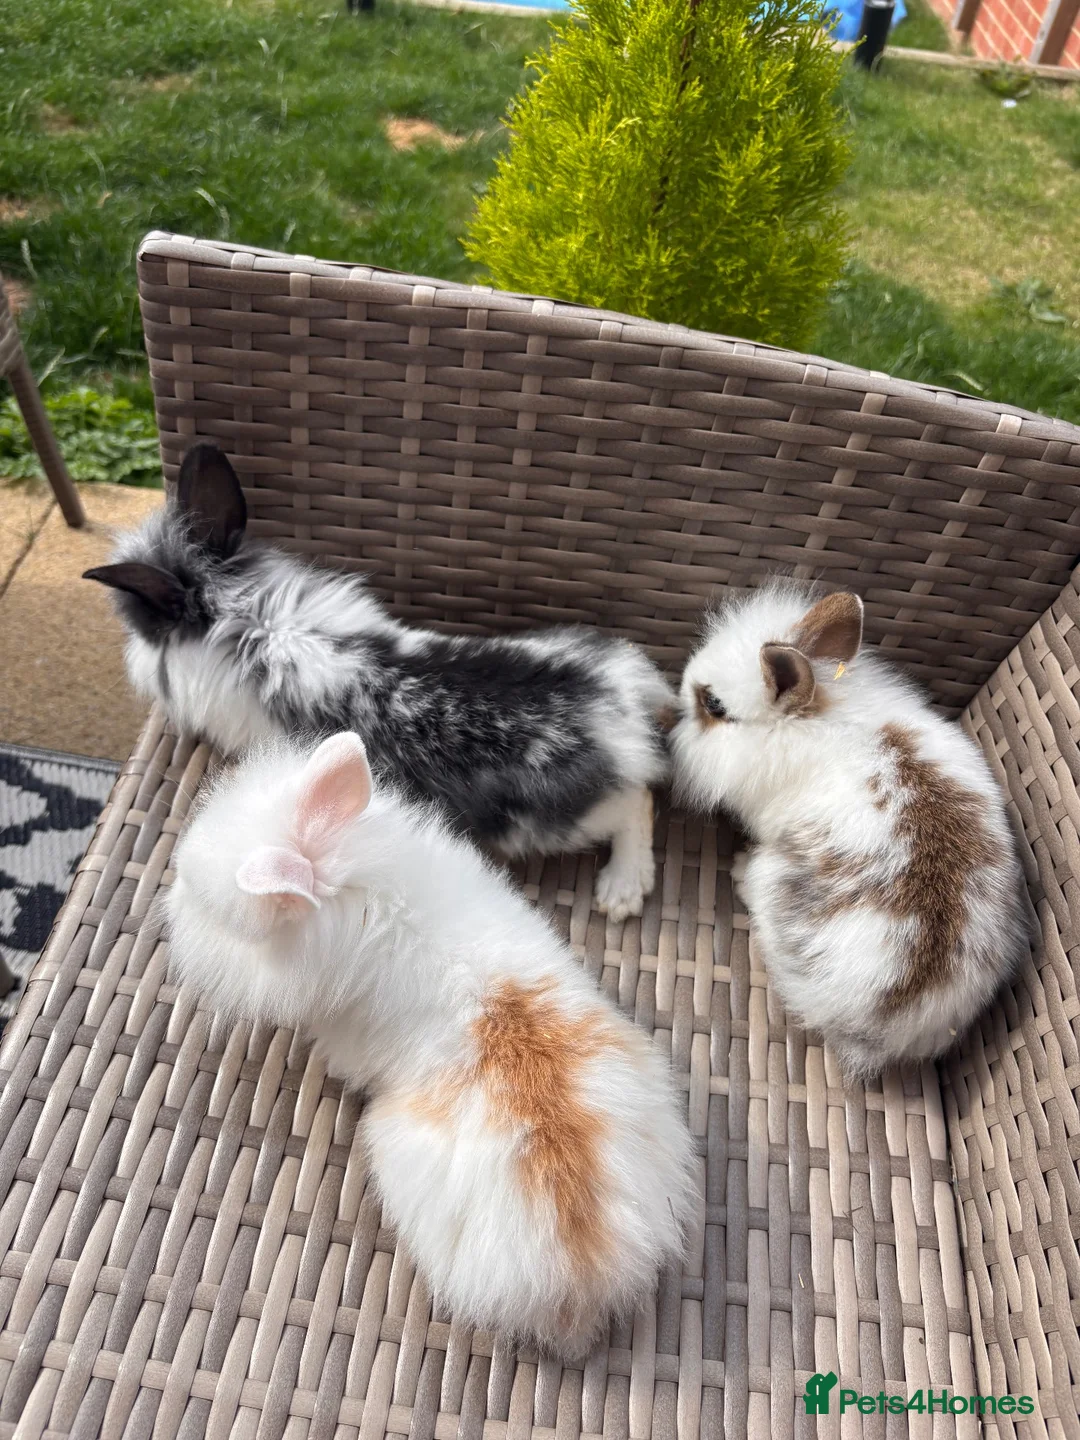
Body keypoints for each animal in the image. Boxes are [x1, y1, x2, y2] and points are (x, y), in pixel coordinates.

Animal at [84, 443, 675, 922]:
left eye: (137, 622)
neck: (245, 617)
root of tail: (620, 698)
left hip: (565, 819)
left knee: (639, 804)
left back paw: (622, 891)